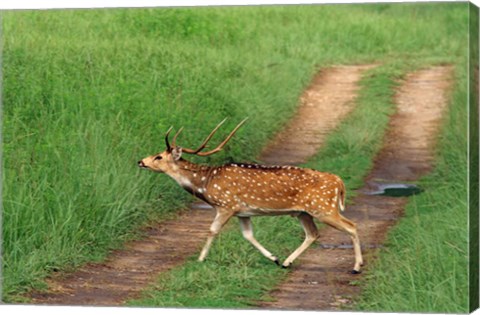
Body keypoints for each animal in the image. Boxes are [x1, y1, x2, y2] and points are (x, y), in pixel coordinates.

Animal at [139, 119, 364, 272]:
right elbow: (248, 235)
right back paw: (286, 262)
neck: (206, 184)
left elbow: (212, 230)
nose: (140, 161)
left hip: (323, 207)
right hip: (304, 212)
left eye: (159, 156)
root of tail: (339, 182)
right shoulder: (243, 212)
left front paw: (200, 259)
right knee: (313, 234)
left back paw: (357, 266)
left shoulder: (226, 205)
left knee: (352, 225)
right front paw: (274, 258)